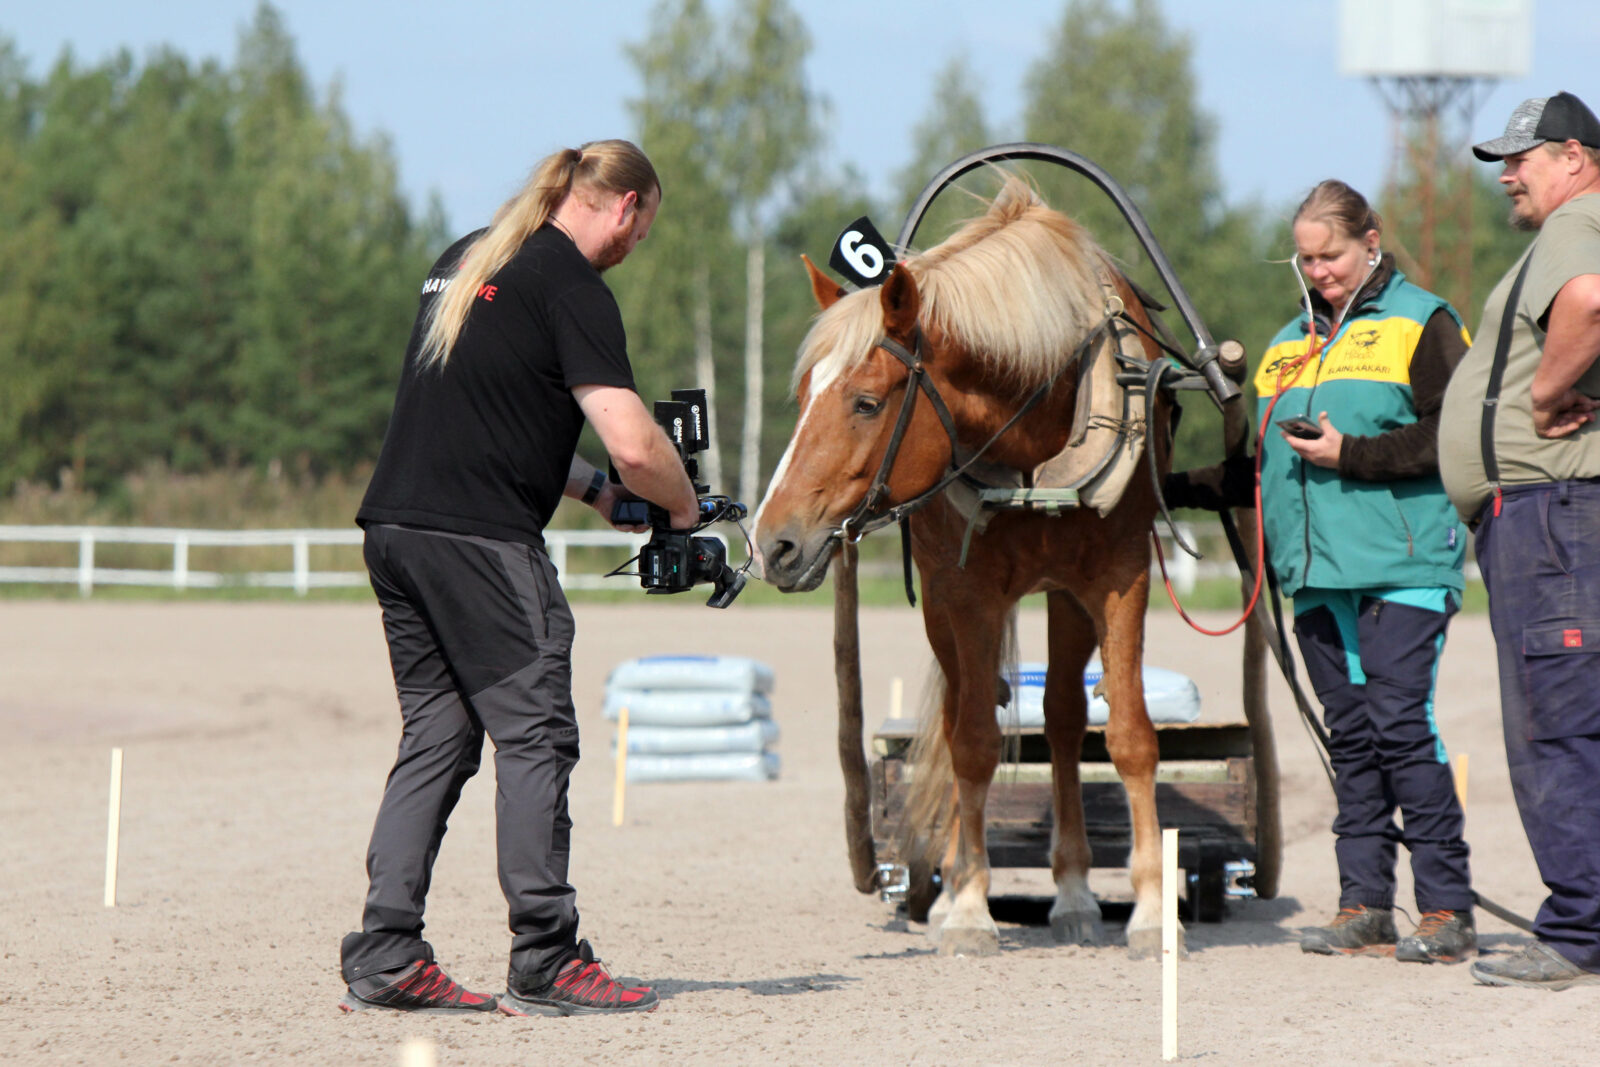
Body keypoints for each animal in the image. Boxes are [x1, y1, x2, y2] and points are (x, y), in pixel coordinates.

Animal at [748, 177, 1177, 959]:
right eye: (801, 399)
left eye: (865, 402)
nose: (773, 543)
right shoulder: (968, 592)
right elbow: (972, 740)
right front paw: (971, 905)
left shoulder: (1120, 577)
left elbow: (1129, 734)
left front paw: (1154, 909)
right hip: (943, 604)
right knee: (958, 718)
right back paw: (956, 885)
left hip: (1065, 595)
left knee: (1063, 718)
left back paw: (1073, 891)